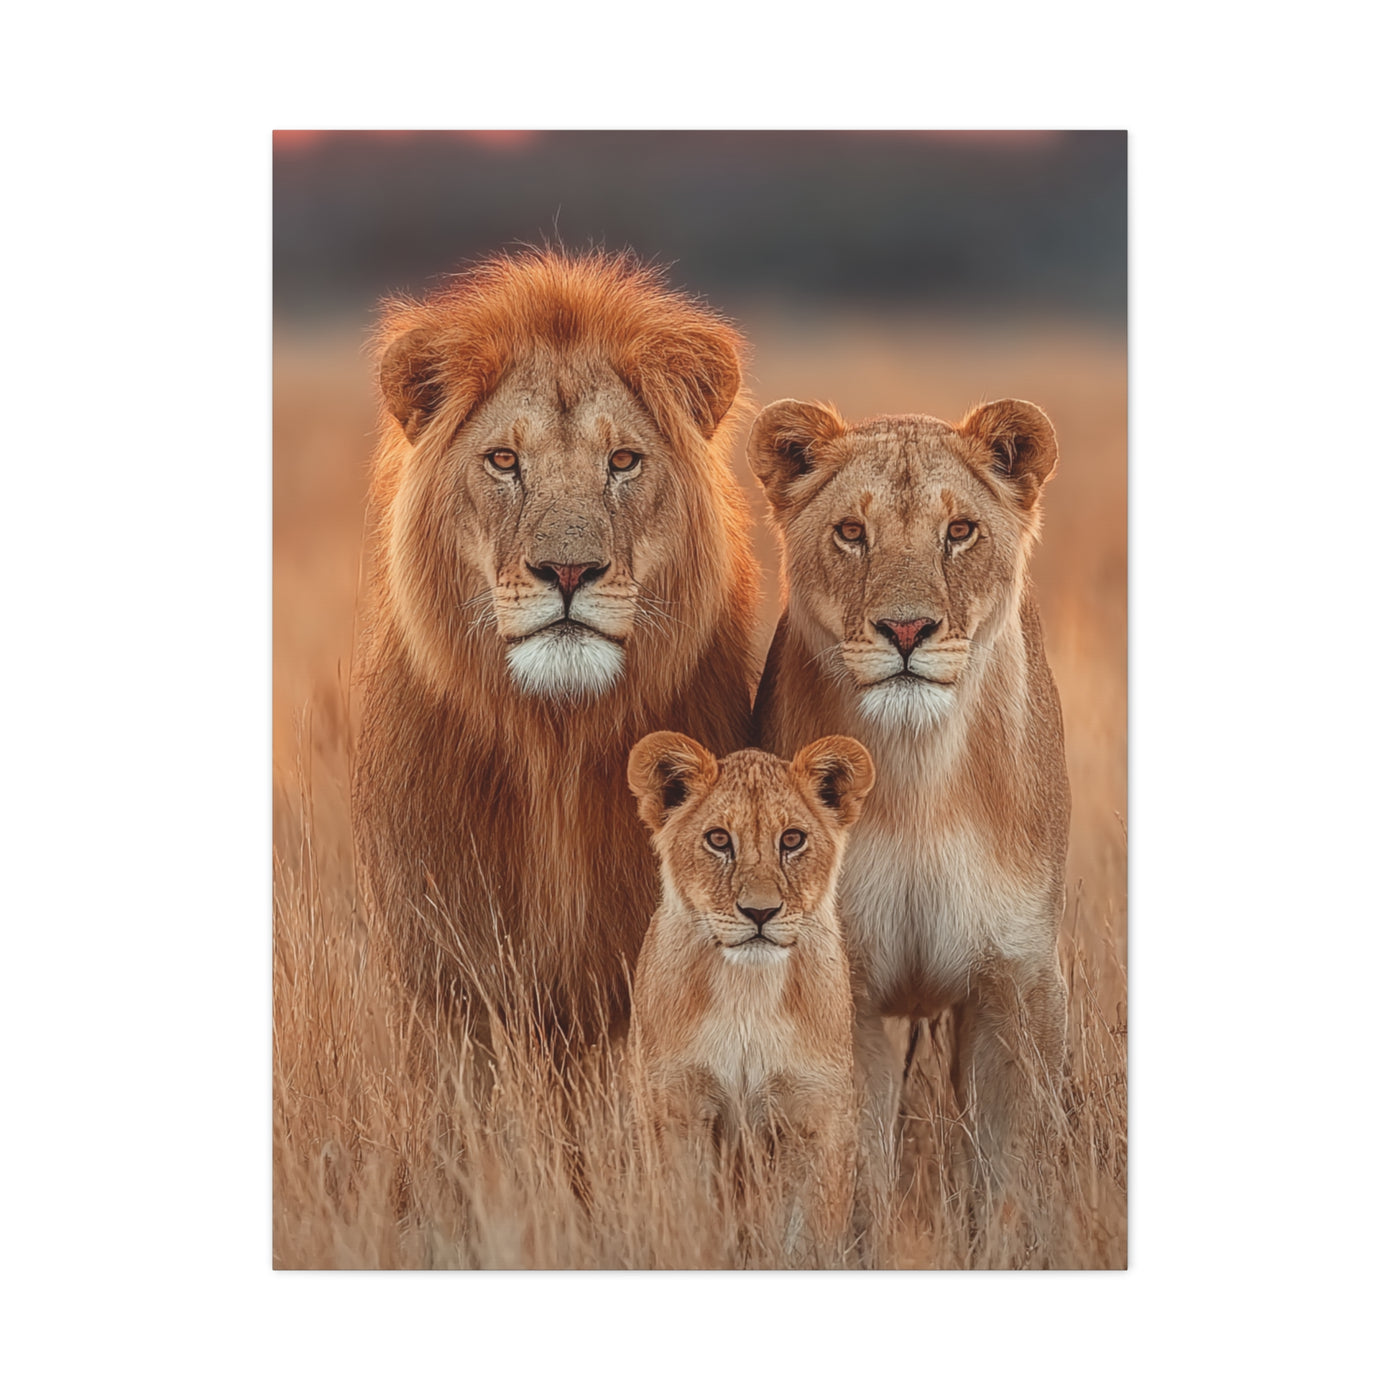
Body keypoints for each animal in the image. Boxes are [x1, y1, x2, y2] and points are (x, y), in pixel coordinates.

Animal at [626, 731, 875, 1250]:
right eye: (719, 840)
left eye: (792, 839)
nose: (760, 912)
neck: (746, 991)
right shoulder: (676, 1106)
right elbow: (688, 1221)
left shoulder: (815, 1115)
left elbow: (805, 1235)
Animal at [748, 396, 1070, 1191]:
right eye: (851, 533)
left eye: (959, 532)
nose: (905, 629)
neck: (918, 774)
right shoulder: (845, 987)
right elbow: (855, 1169)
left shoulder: (1020, 982)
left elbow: (1015, 1170)